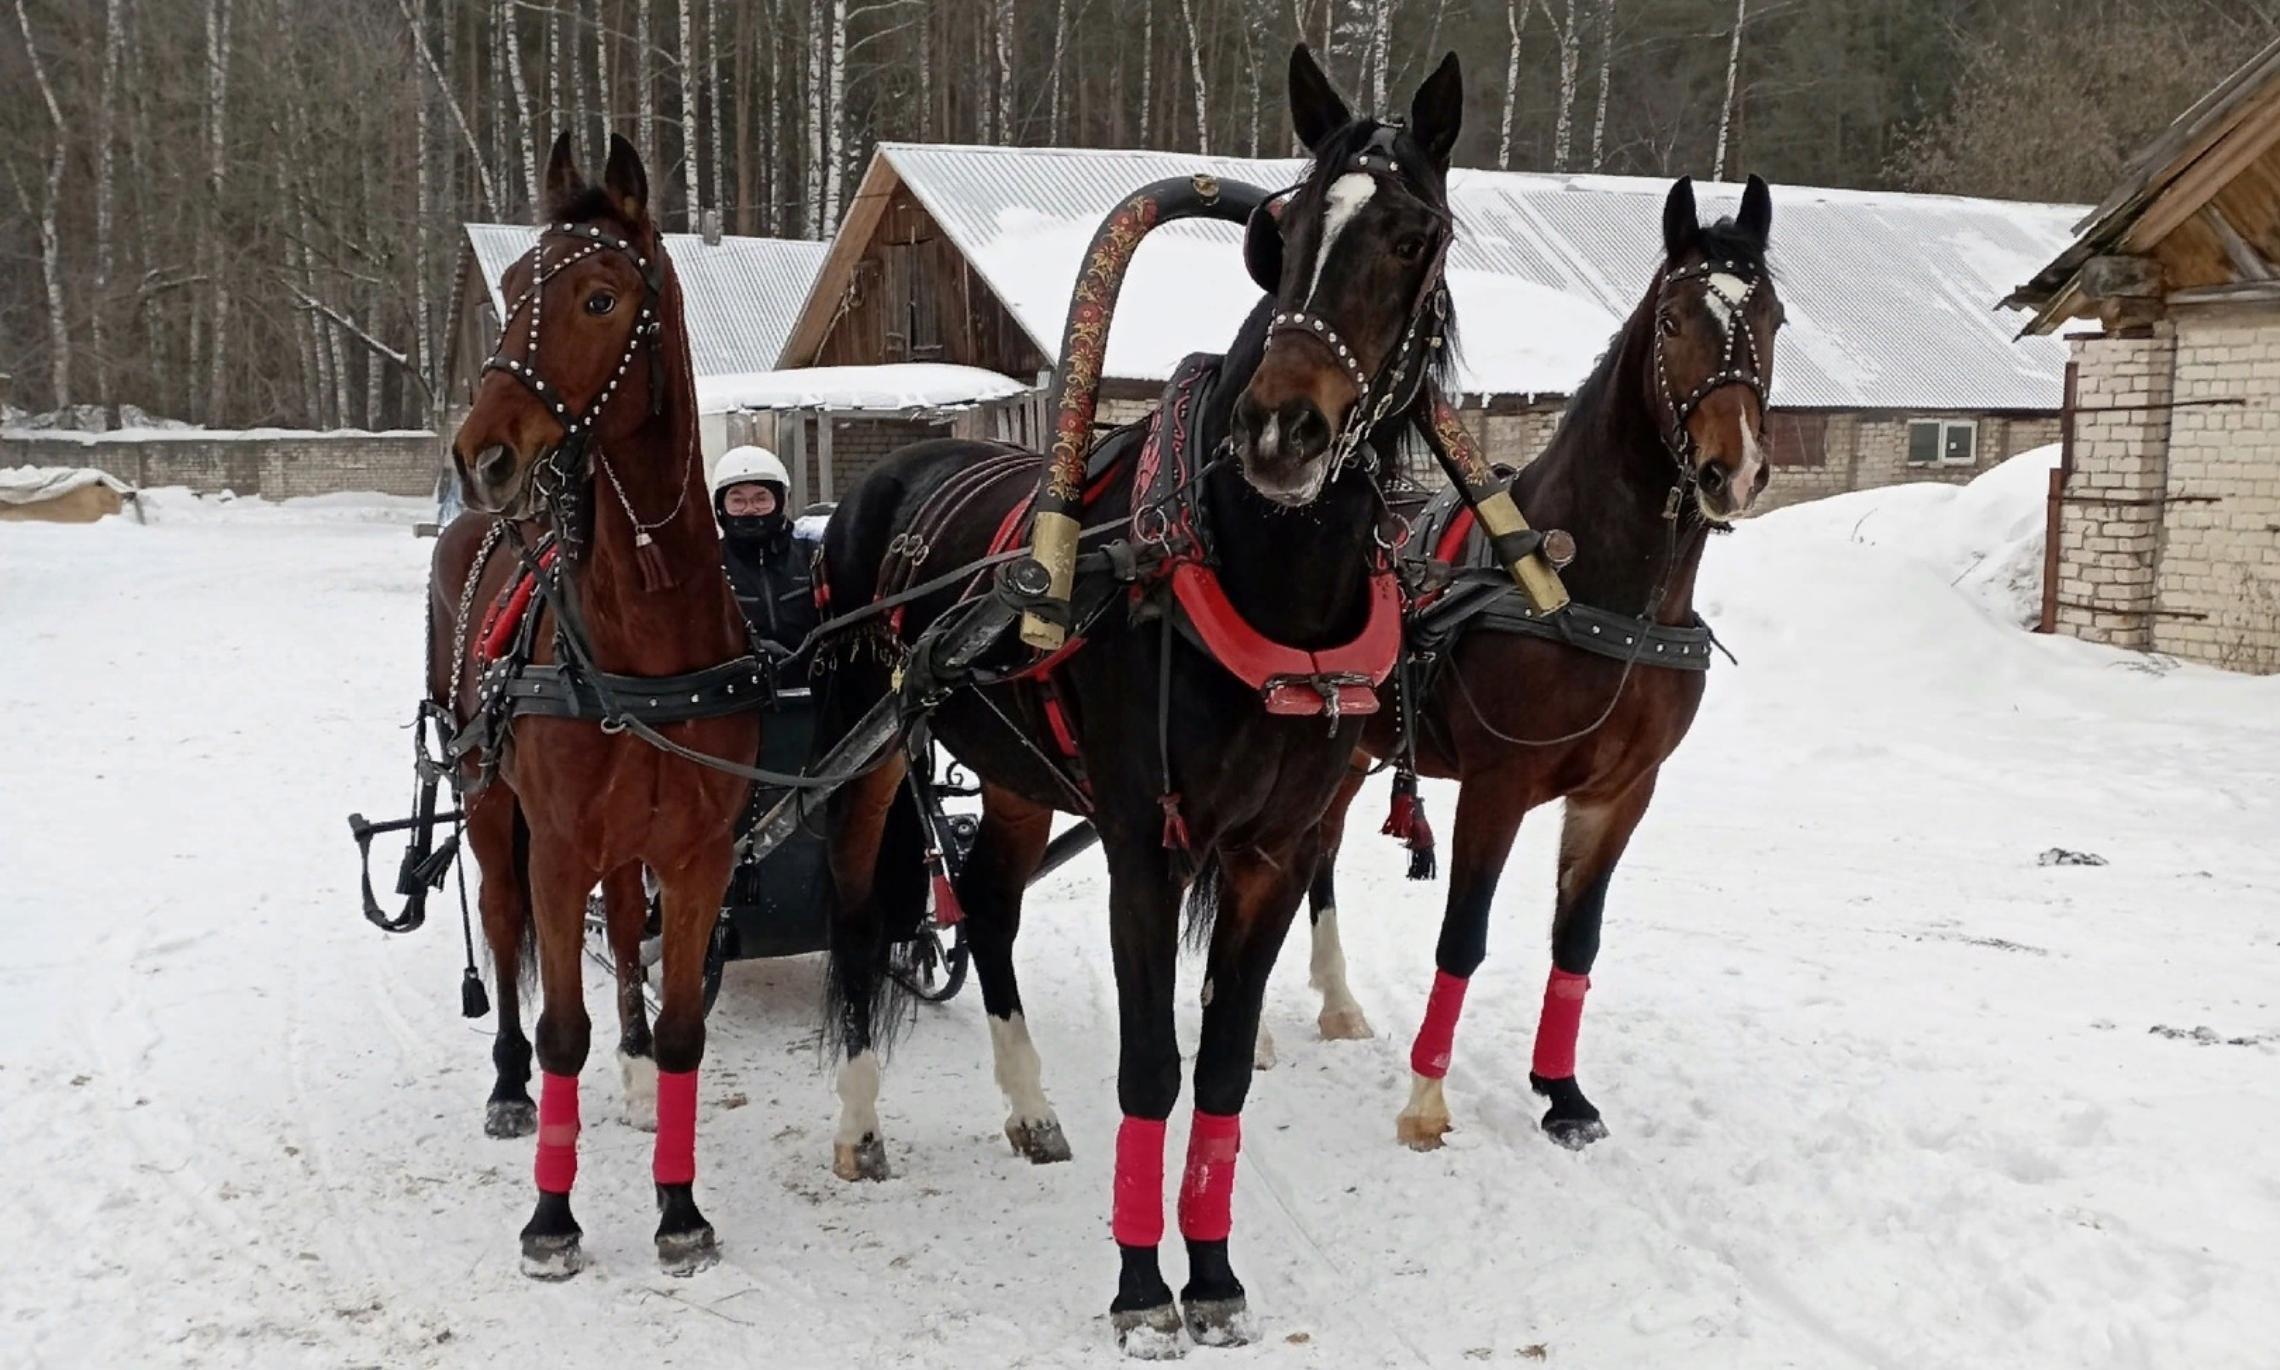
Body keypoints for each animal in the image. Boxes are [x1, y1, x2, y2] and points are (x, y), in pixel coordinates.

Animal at [440, 133, 761, 1276]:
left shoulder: (698, 851)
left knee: (624, 928)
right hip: (492, 812)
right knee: (501, 933)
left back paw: (625, 1067)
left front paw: (679, 1206)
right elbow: (559, 1031)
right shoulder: (559, 845)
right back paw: (504, 1085)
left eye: (597, 296)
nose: (479, 453)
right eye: (514, 283)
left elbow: (682, 1029)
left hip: (628, 844)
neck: (647, 635)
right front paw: (552, 1216)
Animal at [811, 42, 1468, 1349]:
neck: (1256, 579)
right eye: (1284, 232)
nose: (1282, 430)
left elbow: (1218, 1069)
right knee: (861, 918)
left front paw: (1210, 1273)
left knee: (989, 905)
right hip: (874, 758)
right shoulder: (1142, 844)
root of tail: (886, 477)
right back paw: (860, 1120)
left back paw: (1026, 1104)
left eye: (1415, 234)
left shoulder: (1273, 852)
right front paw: (1136, 1285)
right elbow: (1151, 1067)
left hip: (1016, 775)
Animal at [1295, 173, 1787, 1153]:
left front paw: (1563, 1093)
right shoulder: (1499, 785)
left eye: (1776, 318)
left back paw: (1336, 1000)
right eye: (1673, 319)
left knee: (1318, 850)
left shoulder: (1621, 793)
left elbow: (1577, 941)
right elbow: (1464, 935)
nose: (1735, 468)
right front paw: (1426, 1097)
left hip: (1358, 748)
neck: (1596, 593)